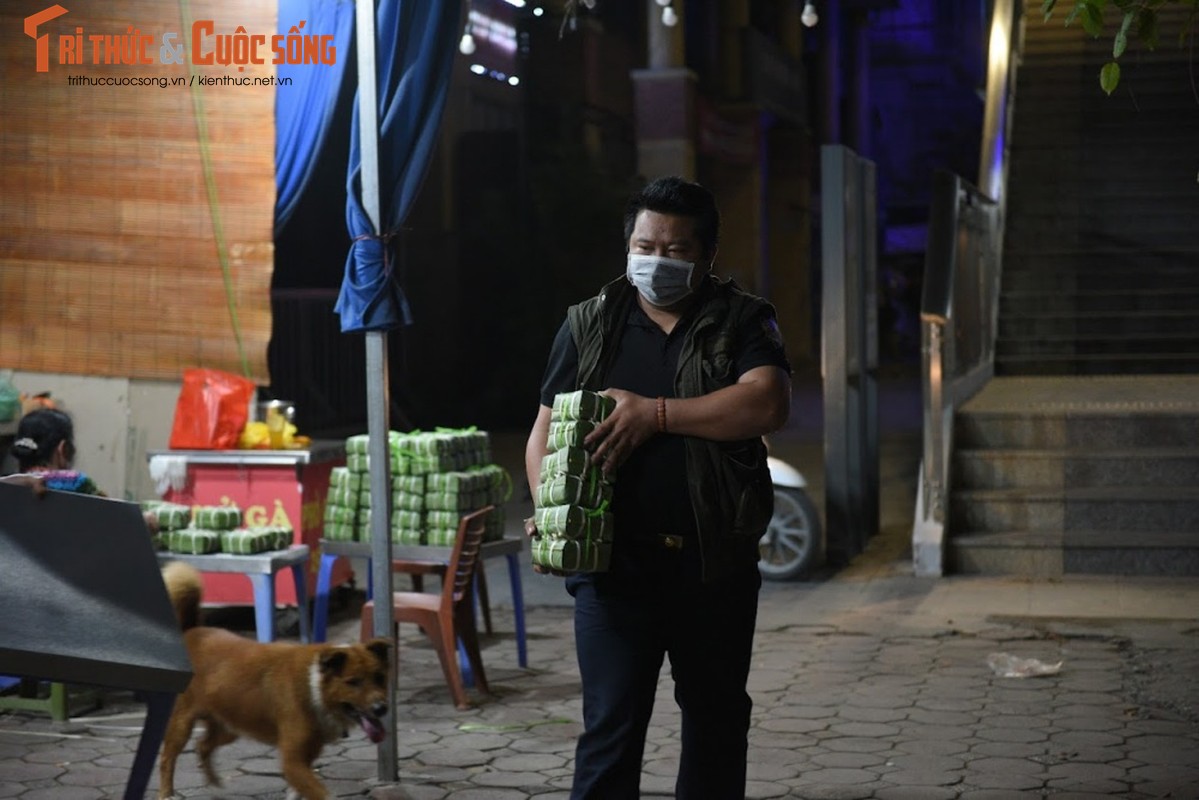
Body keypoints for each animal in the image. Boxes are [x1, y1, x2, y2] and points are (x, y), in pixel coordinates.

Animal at [159, 563, 390, 800]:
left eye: (379, 677)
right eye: (353, 682)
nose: (381, 708)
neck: (314, 685)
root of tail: (190, 632)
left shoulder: (305, 760)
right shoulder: (292, 762)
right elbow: (323, 794)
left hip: (230, 725)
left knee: (202, 745)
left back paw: (214, 782)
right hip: (182, 724)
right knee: (168, 758)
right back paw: (167, 793)